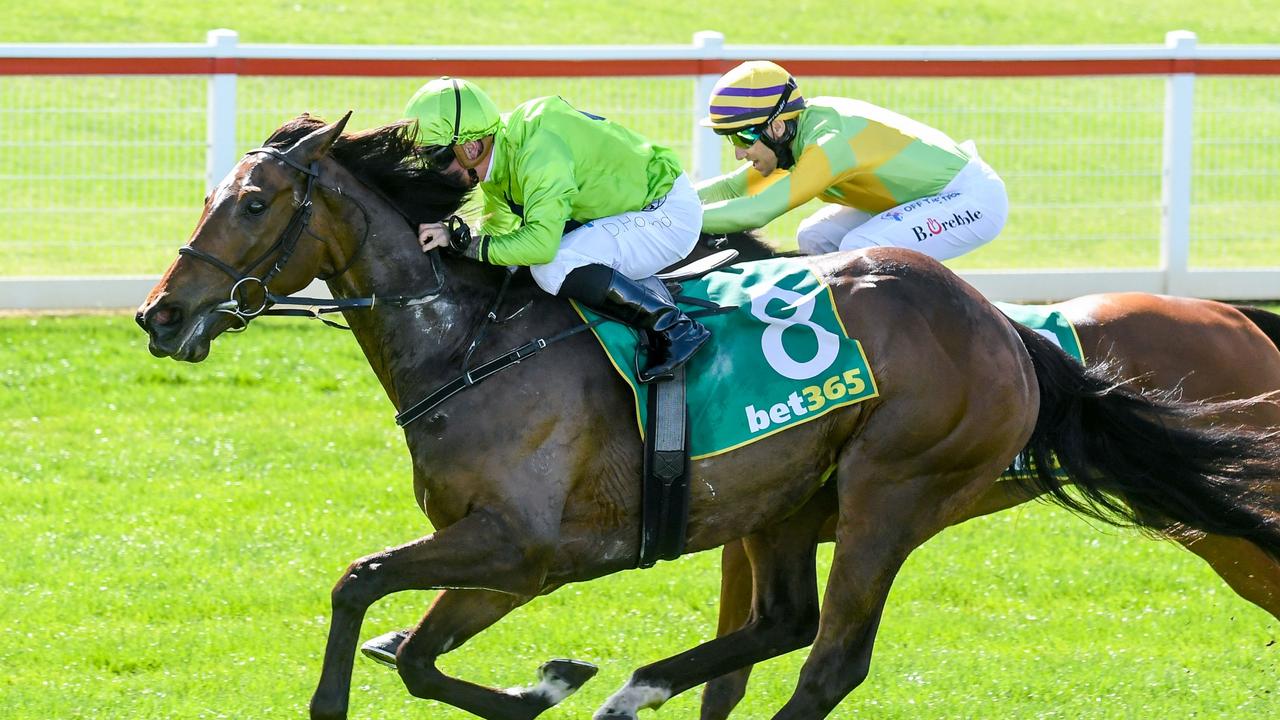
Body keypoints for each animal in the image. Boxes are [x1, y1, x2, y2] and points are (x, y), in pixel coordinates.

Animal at [132, 112, 1280, 717]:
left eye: (251, 204)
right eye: (211, 196)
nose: (160, 314)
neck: (468, 345)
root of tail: (1003, 331)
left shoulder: (521, 547)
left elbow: (360, 586)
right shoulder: (511, 558)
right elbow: (412, 652)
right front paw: (554, 680)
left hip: (893, 489)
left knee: (830, 657)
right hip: (786, 499)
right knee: (788, 623)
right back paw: (637, 687)